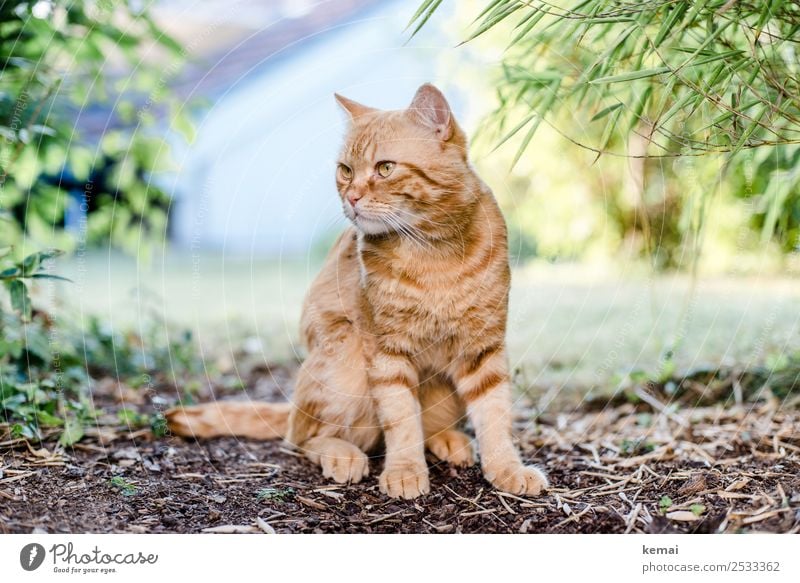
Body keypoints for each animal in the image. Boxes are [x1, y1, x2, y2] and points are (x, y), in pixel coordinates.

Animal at [166, 83, 548, 502]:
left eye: (385, 168)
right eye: (345, 170)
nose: (351, 197)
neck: (433, 252)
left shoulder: (483, 348)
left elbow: (495, 416)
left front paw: (506, 469)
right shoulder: (387, 352)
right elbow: (402, 420)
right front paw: (405, 470)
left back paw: (447, 439)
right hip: (346, 356)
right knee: (301, 437)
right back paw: (341, 453)